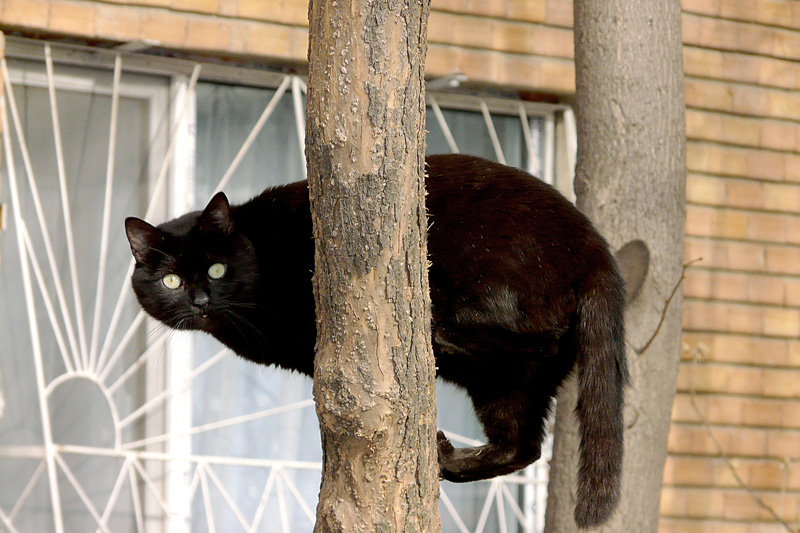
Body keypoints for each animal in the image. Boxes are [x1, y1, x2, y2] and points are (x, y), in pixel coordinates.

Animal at [125, 153, 628, 524]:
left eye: (216, 269)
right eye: (171, 281)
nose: (199, 300)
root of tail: (593, 244)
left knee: (529, 346)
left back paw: (440, 337)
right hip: (509, 387)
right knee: (523, 444)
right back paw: (448, 458)